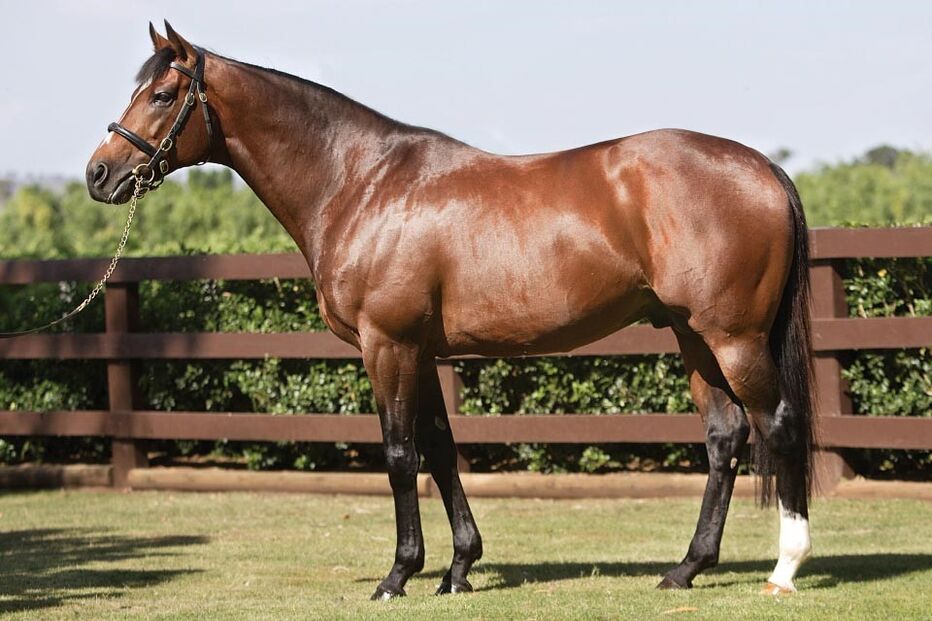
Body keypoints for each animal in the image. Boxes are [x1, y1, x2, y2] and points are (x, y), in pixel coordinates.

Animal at [87, 22, 815, 599]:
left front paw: (398, 574)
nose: (99, 174)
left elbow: (399, 453)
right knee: (726, 435)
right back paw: (685, 569)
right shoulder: (422, 349)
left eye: (161, 95)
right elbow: (439, 448)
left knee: (777, 425)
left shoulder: (386, 344)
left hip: (733, 337)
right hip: (693, 336)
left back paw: (785, 568)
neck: (360, 184)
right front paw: (459, 568)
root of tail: (763, 169)